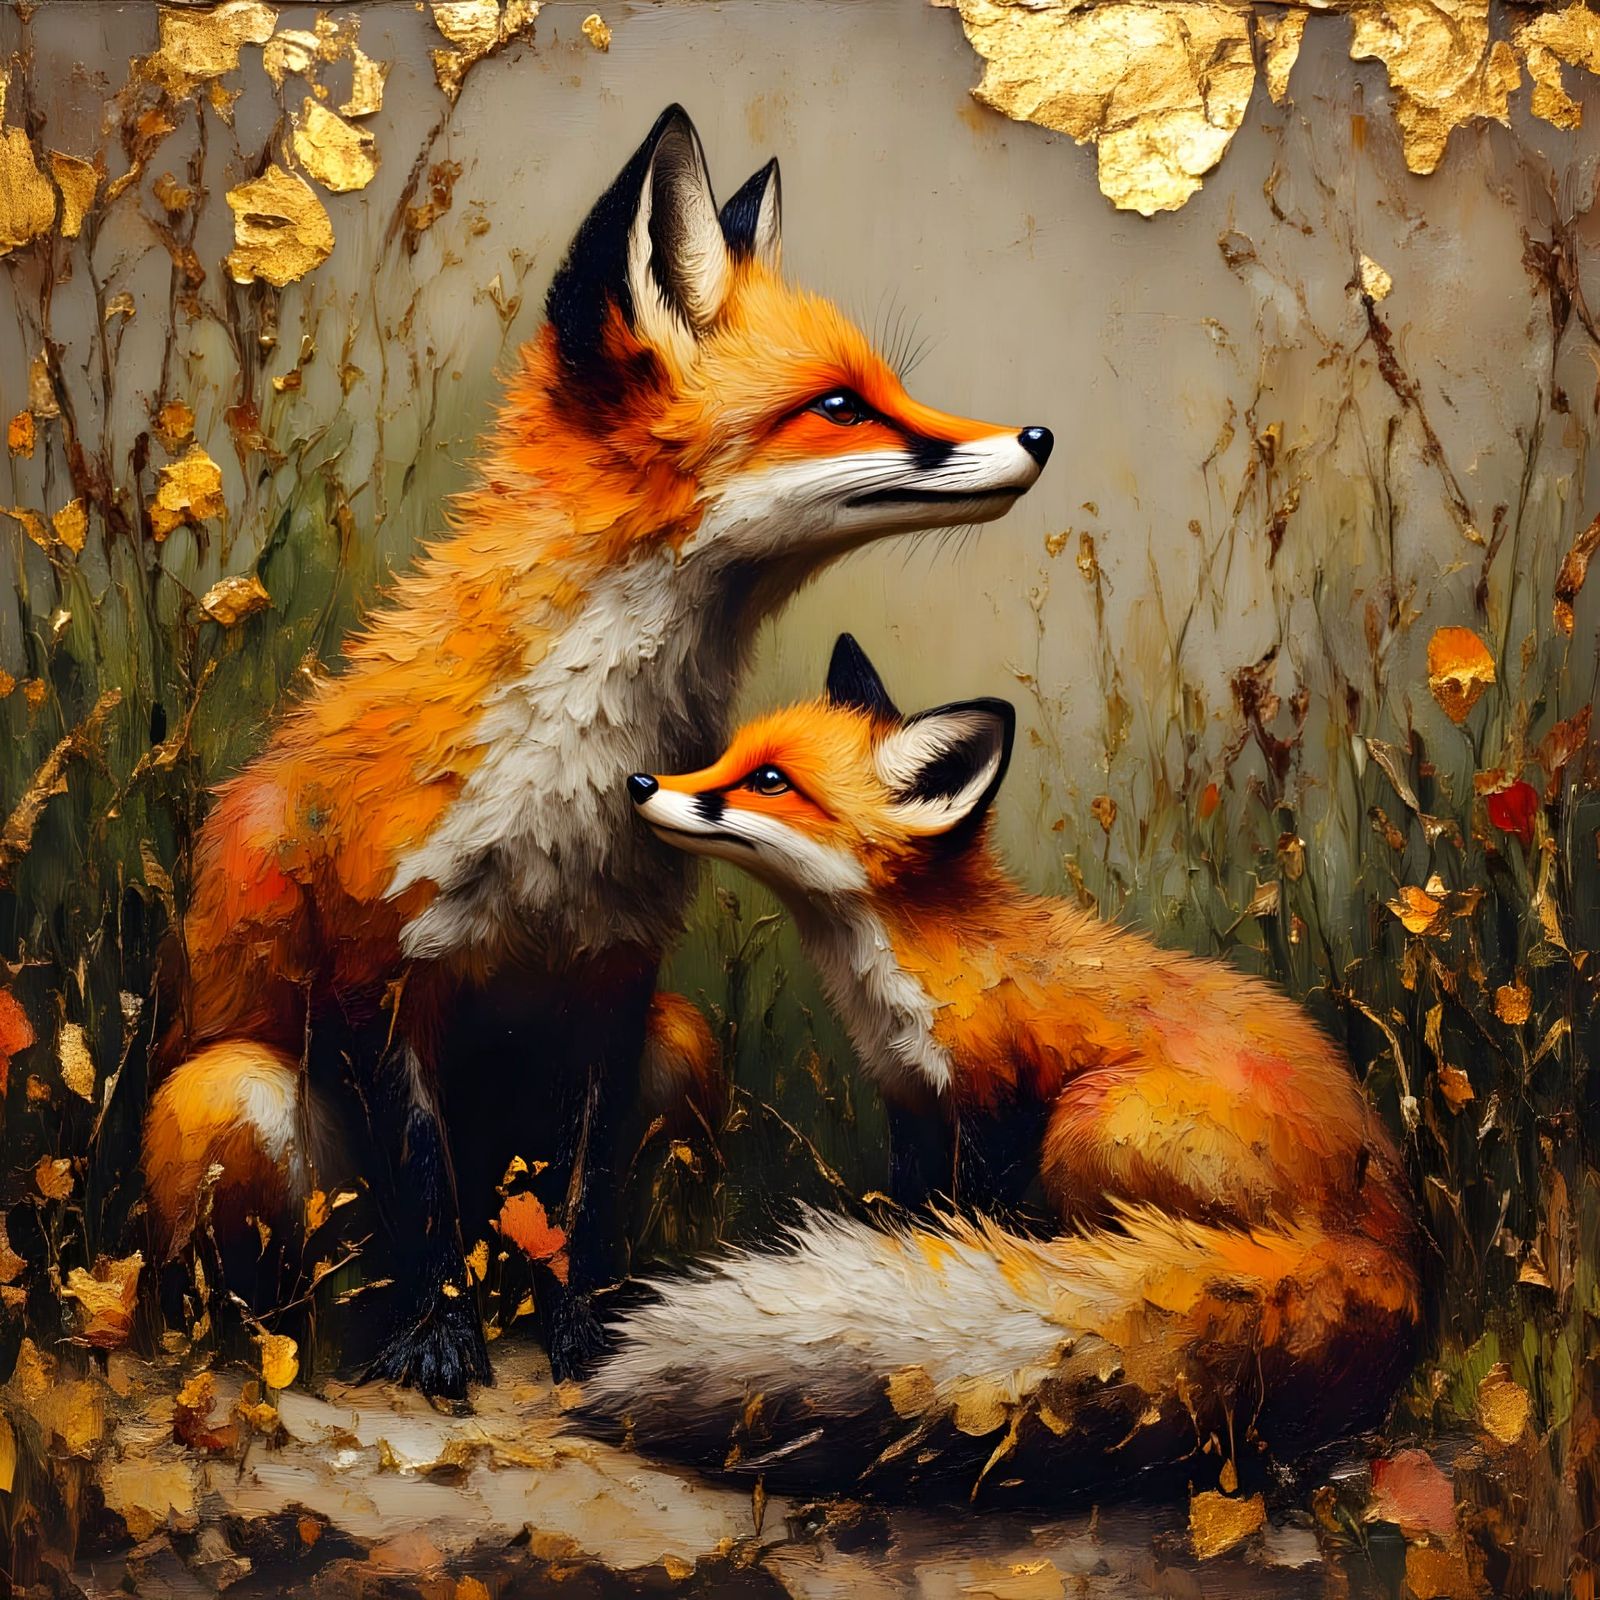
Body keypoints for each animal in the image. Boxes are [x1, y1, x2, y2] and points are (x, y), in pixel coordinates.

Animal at [139, 108, 1053, 1399]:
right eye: (838, 406)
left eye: (887, 387)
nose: (1039, 434)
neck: (564, 779)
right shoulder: (380, 966)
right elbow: (422, 1193)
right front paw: (437, 1337)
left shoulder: (622, 973)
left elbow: (590, 1190)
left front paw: (586, 1327)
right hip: (228, 1096)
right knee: (286, 1294)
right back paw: (320, 1347)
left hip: (686, 1042)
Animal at [582, 635, 1421, 1500]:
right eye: (727, 758)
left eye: (771, 781)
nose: (639, 782)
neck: (910, 967)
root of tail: (1388, 1236)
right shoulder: (913, 1103)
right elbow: (919, 1212)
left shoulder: (1001, 1106)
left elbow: (969, 1208)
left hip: (1087, 1121)